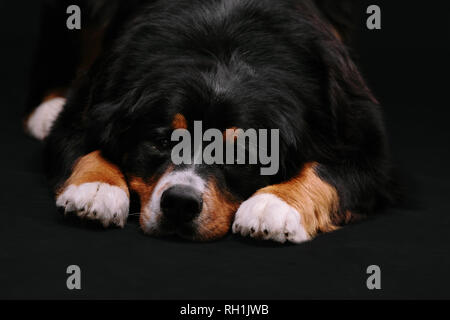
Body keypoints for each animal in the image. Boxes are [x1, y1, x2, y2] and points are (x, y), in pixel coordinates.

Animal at [24, 0, 394, 244]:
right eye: (162, 142)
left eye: (240, 156)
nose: (180, 203)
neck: (224, 52)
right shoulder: (96, 95)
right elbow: (84, 142)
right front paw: (95, 189)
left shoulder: (362, 135)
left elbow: (327, 172)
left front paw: (273, 206)